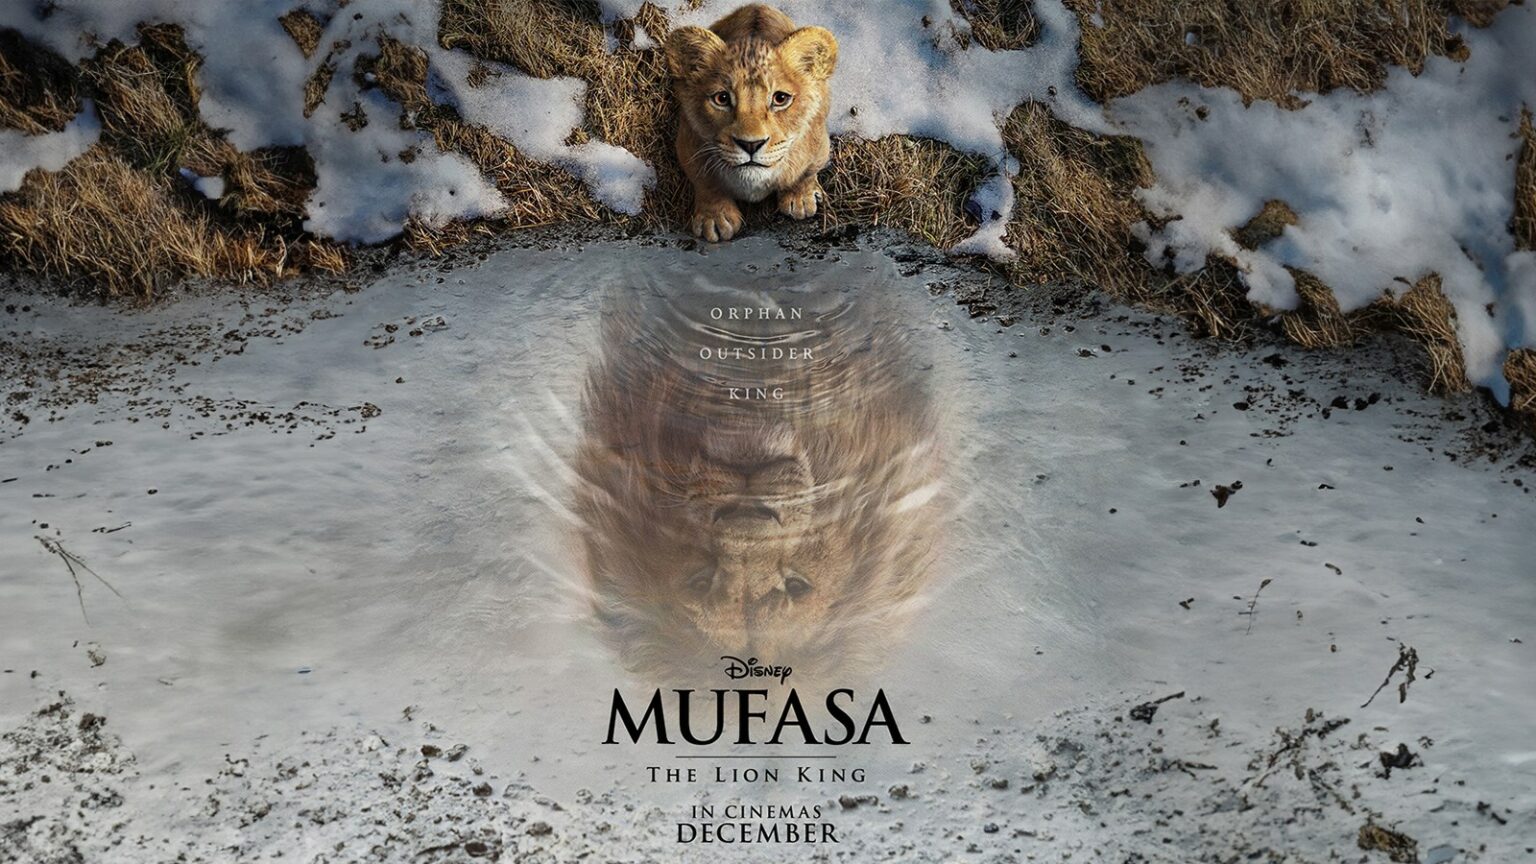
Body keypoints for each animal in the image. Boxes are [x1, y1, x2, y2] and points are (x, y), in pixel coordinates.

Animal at [664, 4, 838, 242]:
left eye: (780, 98)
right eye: (722, 98)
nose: (751, 144)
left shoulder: (819, 145)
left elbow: (806, 172)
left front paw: (801, 199)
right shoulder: (688, 144)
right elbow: (706, 182)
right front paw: (715, 219)